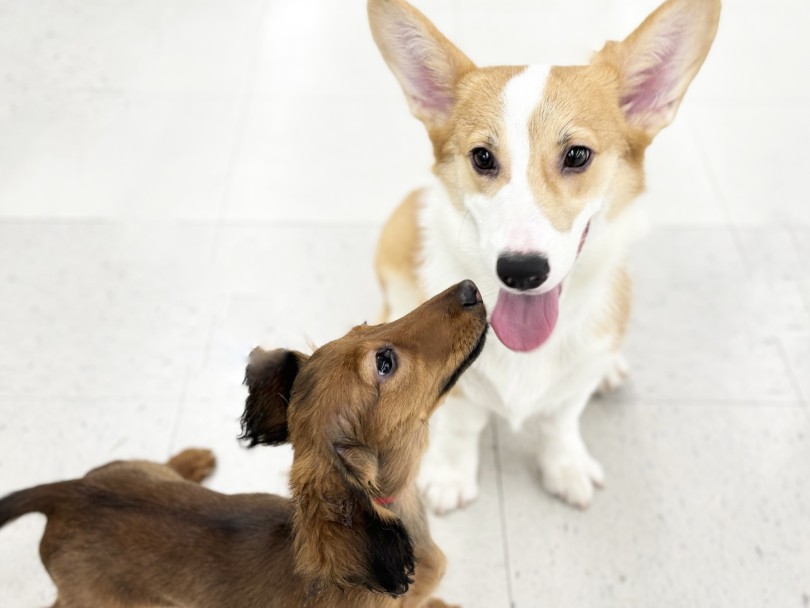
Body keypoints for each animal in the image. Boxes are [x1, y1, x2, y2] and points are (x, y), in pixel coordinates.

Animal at [0, 280, 486, 608]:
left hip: (130, 467)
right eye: (384, 363)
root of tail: (68, 493)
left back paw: (190, 461)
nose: (471, 287)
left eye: (365, 325)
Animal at [370, 0, 716, 510]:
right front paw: (450, 475)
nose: (521, 271)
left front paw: (565, 465)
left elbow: (560, 418)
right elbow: (461, 425)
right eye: (482, 157)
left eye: (577, 155)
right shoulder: (459, 393)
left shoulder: (574, 382)